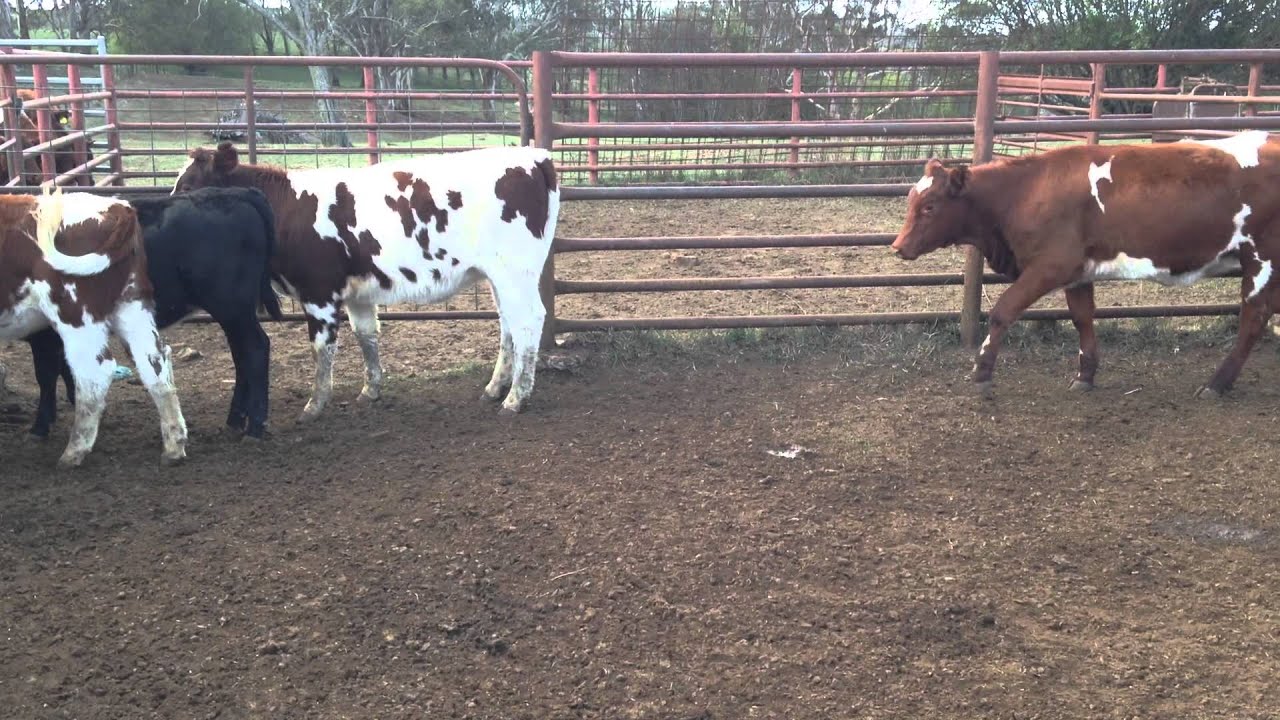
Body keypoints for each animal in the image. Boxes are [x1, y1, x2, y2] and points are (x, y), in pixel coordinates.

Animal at [0, 188, 187, 467]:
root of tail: (117, 207)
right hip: (132, 306)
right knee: (155, 363)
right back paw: (174, 445)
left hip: (75, 313)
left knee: (94, 372)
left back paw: (74, 451)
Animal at [23, 186, 282, 441]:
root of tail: (235, 192)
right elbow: (65, 371)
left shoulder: (44, 333)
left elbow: (46, 374)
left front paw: (40, 425)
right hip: (233, 314)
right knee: (241, 355)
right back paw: (235, 419)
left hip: (232, 306)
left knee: (256, 349)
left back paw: (255, 426)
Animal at [172, 142, 561, 421]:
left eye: (189, 184)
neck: (289, 207)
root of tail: (534, 156)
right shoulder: (357, 293)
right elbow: (366, 336)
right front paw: (370, 390)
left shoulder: (318, 291)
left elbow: (322, 348)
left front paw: (315, 405)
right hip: (498, 277)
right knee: (509, 325)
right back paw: (495, 388)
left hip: (515, 271)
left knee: (528, 322)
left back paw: (516, 397)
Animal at [891, 130, 1280, 399]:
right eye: (911, 200)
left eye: (929, 207)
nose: (898, 246)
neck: (1025, 190)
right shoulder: (1078, 273)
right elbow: (1082, 318)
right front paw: (1085, 376)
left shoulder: (1051, 265)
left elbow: (1003, 311)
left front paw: (982, 372)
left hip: (1260, 257)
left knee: (1254, 316)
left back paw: (1217, 383)